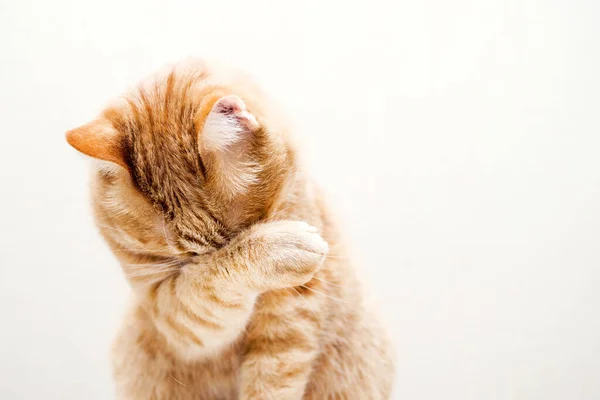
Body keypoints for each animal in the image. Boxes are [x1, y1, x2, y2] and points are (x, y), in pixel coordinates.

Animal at [67, 59, 394, 400]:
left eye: (237, 236)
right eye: (191, 258)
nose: (209, 257)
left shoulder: (292, 314)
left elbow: (272, 380)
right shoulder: (172, 313)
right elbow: (205, 288)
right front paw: (280, 248)